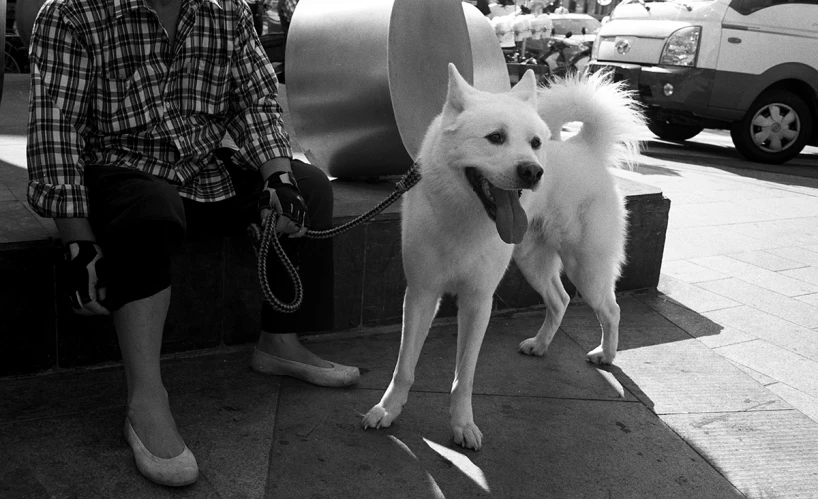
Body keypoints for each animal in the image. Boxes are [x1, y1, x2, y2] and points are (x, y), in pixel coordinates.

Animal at [364, 64, 644, 452]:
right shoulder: (421, 294)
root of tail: (584, 147)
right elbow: (404, 366)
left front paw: (463, 425)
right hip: (534, 263)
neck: (466, 217)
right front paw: (388, 410)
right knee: (560, 299)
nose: (533, 171)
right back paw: (540, 345)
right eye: (495, 137)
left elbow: (464, 376)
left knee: (611, 310)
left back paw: (606, 354)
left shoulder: (478, 302)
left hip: (586, 267)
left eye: (535, 143)